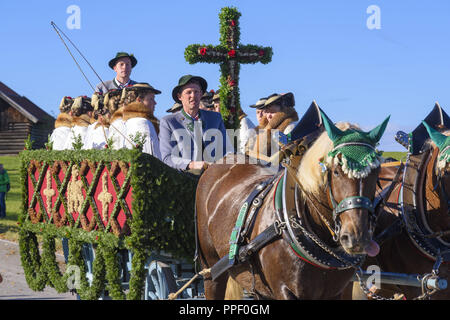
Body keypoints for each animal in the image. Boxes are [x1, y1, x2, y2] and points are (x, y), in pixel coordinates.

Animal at [197, 113, 390, 300]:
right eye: (336, 171)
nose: (357, 237)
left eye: (376, 171)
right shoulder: (285, 290)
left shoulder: (336, 292)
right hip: (211, 268)